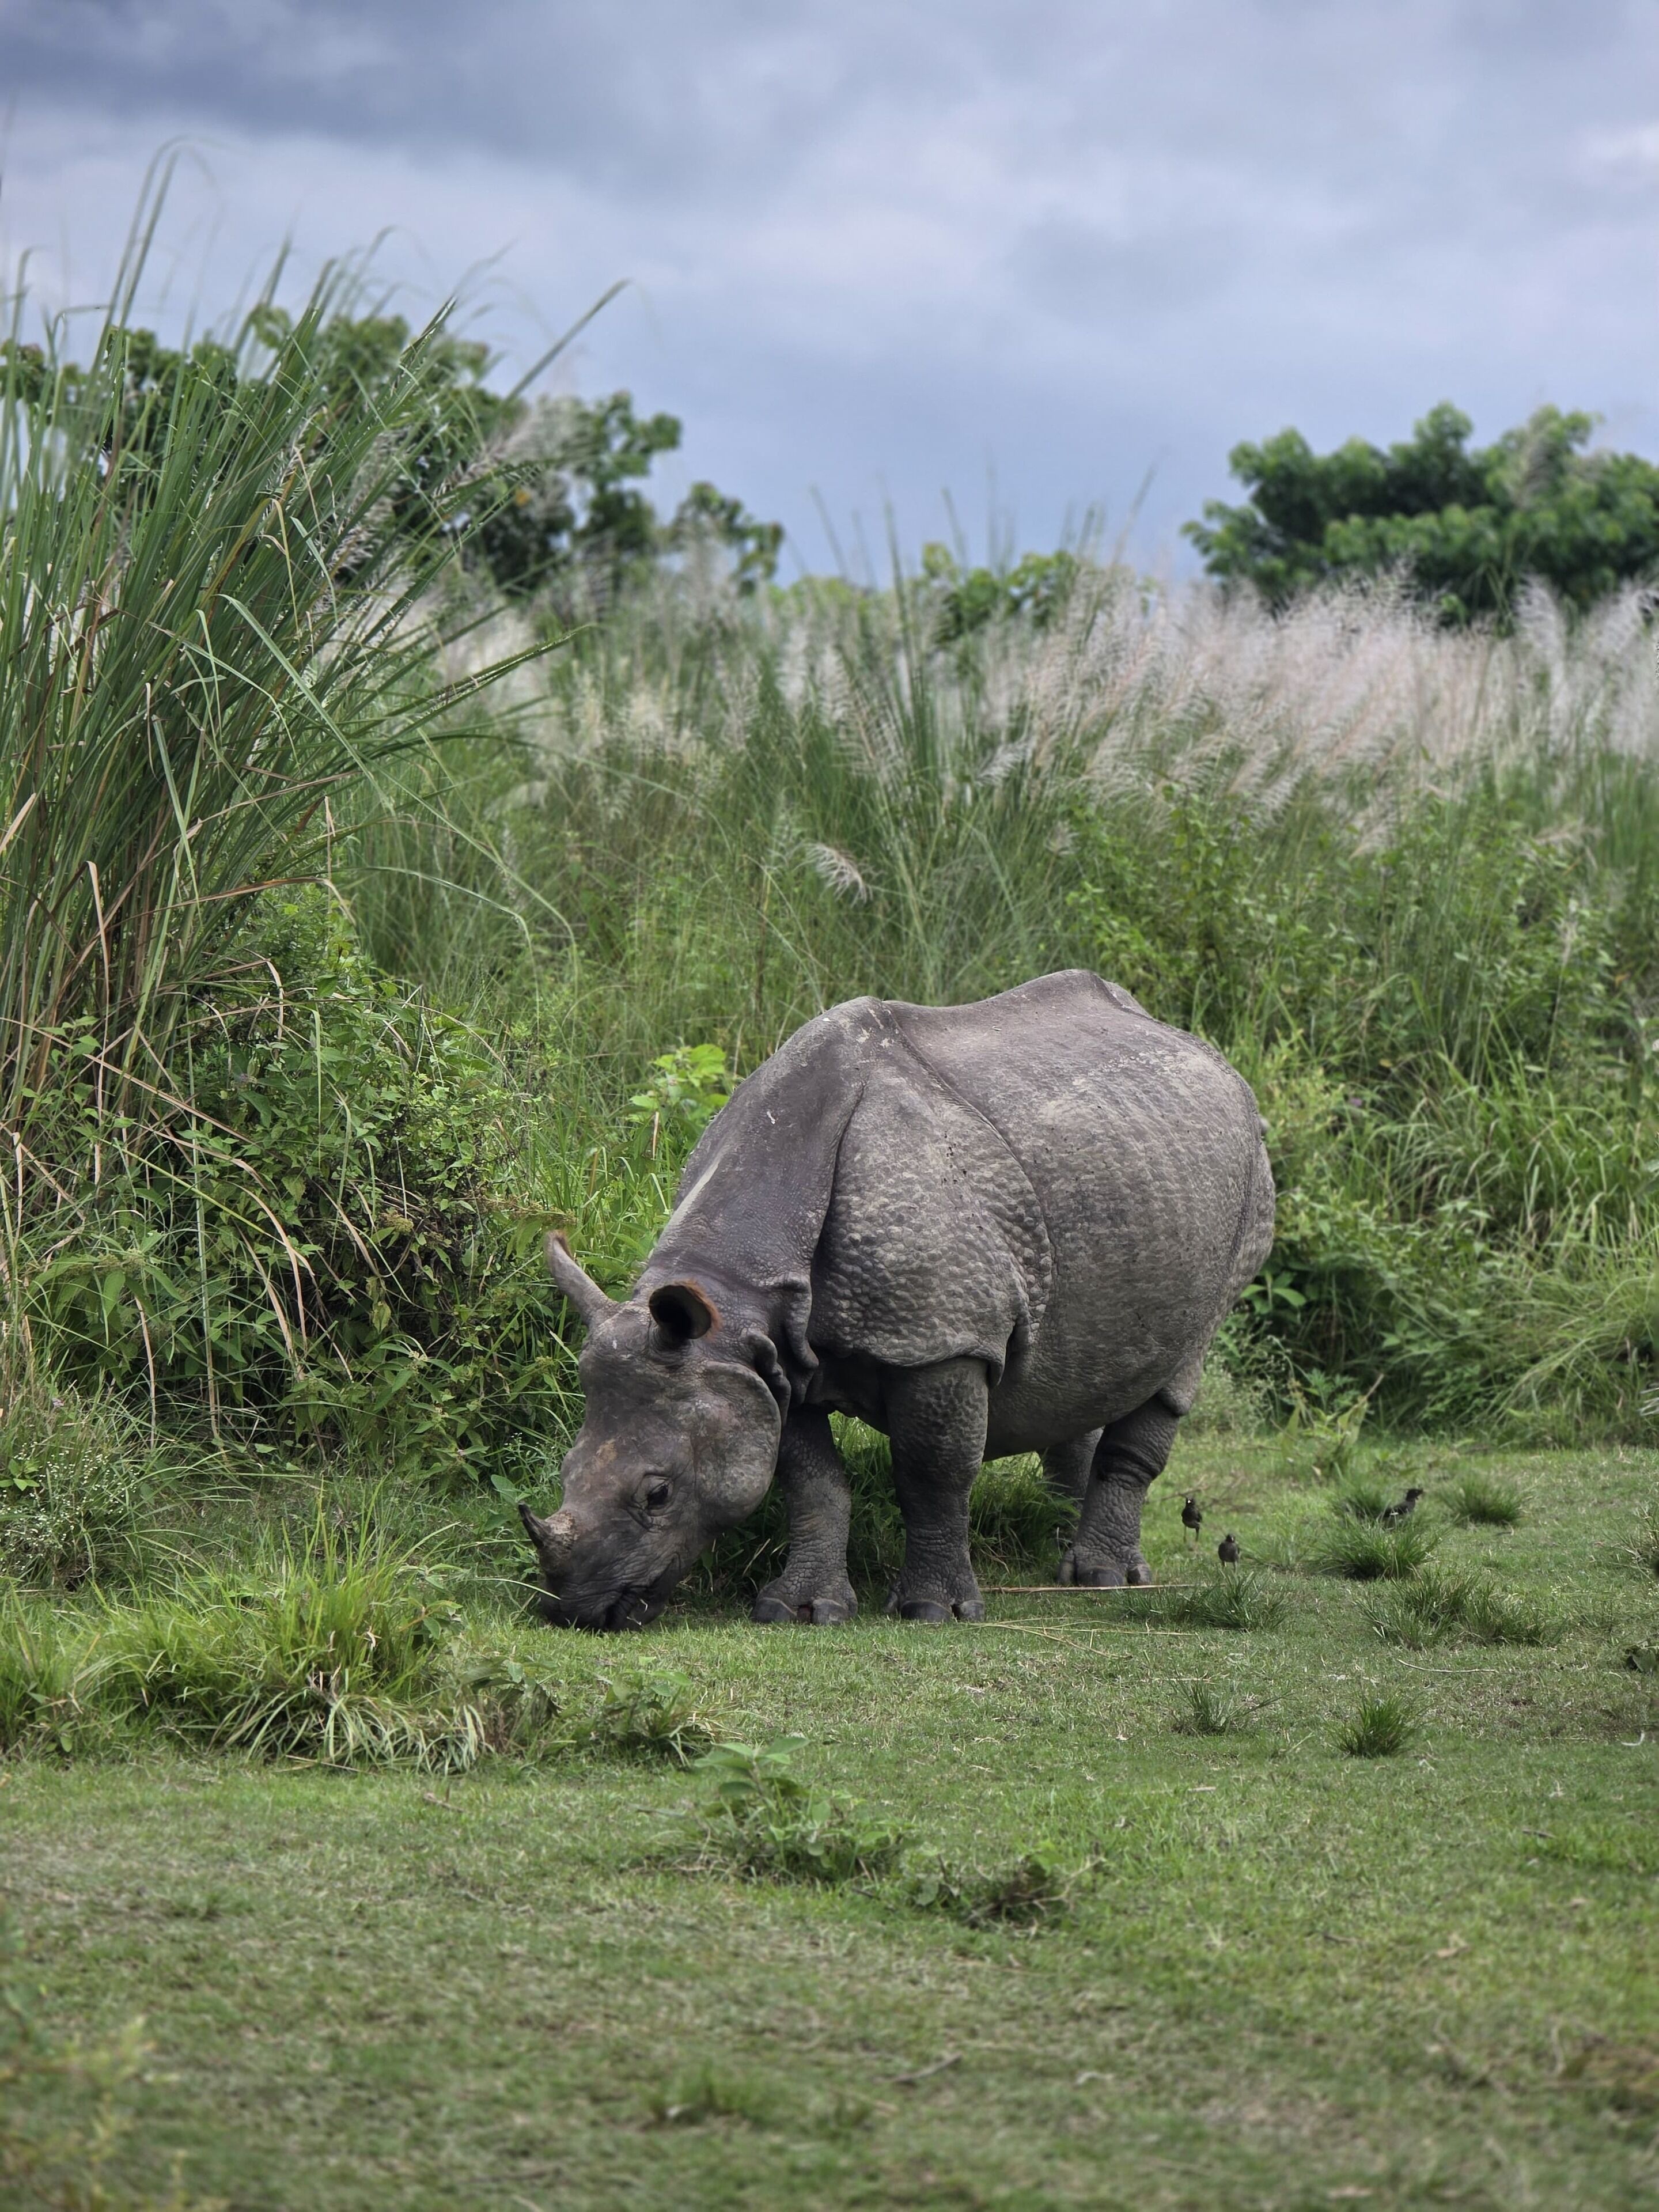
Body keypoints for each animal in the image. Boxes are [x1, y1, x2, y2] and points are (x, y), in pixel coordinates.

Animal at [520, 970, 1274, 1630]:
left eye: (658, 1494)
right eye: (563, 1470)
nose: (575, 1611)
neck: (737, 1293)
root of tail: (1195, 1044)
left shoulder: (942, 1342)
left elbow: (932, 1472)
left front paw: (933, 1612)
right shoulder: (763, 1359)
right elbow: (811, 1481)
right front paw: (801, 1611)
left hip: (1249, 1182)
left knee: (1179, 1364)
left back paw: (1103, 1579)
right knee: (1084, 1361)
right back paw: (1063, 1546)